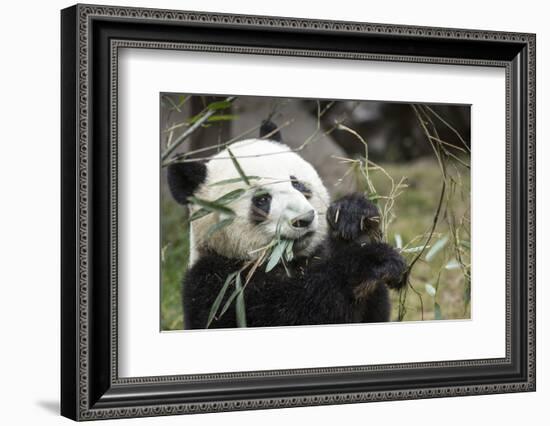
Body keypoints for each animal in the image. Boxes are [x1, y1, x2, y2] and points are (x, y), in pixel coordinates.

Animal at [166, 121, 408, 328]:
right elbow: (296, 310)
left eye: (297, 183)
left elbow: (374, 312)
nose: (304, 219)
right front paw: (371, 260)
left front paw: (353, 217)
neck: (289, 262)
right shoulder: (218, 287)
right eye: (262, 199)